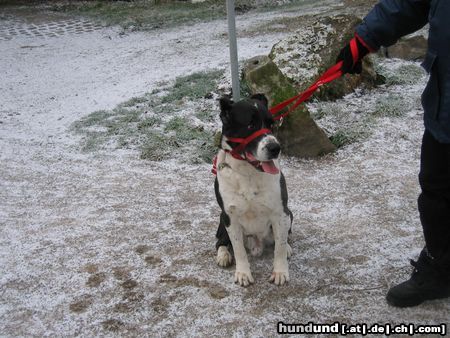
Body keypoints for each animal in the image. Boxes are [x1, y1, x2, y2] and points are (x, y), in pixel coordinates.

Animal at [215, 93, 296, 286]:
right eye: (250, 125)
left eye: (271, 124)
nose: (275, 148)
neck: (249, 172)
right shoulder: (230, 216)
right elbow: (238, 249)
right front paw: (243, 273)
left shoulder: (280, 212)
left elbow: (279, 247)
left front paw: (280, 271)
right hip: (221, 220)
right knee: (220, 242)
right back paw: (223, 255)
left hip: (290, 214)